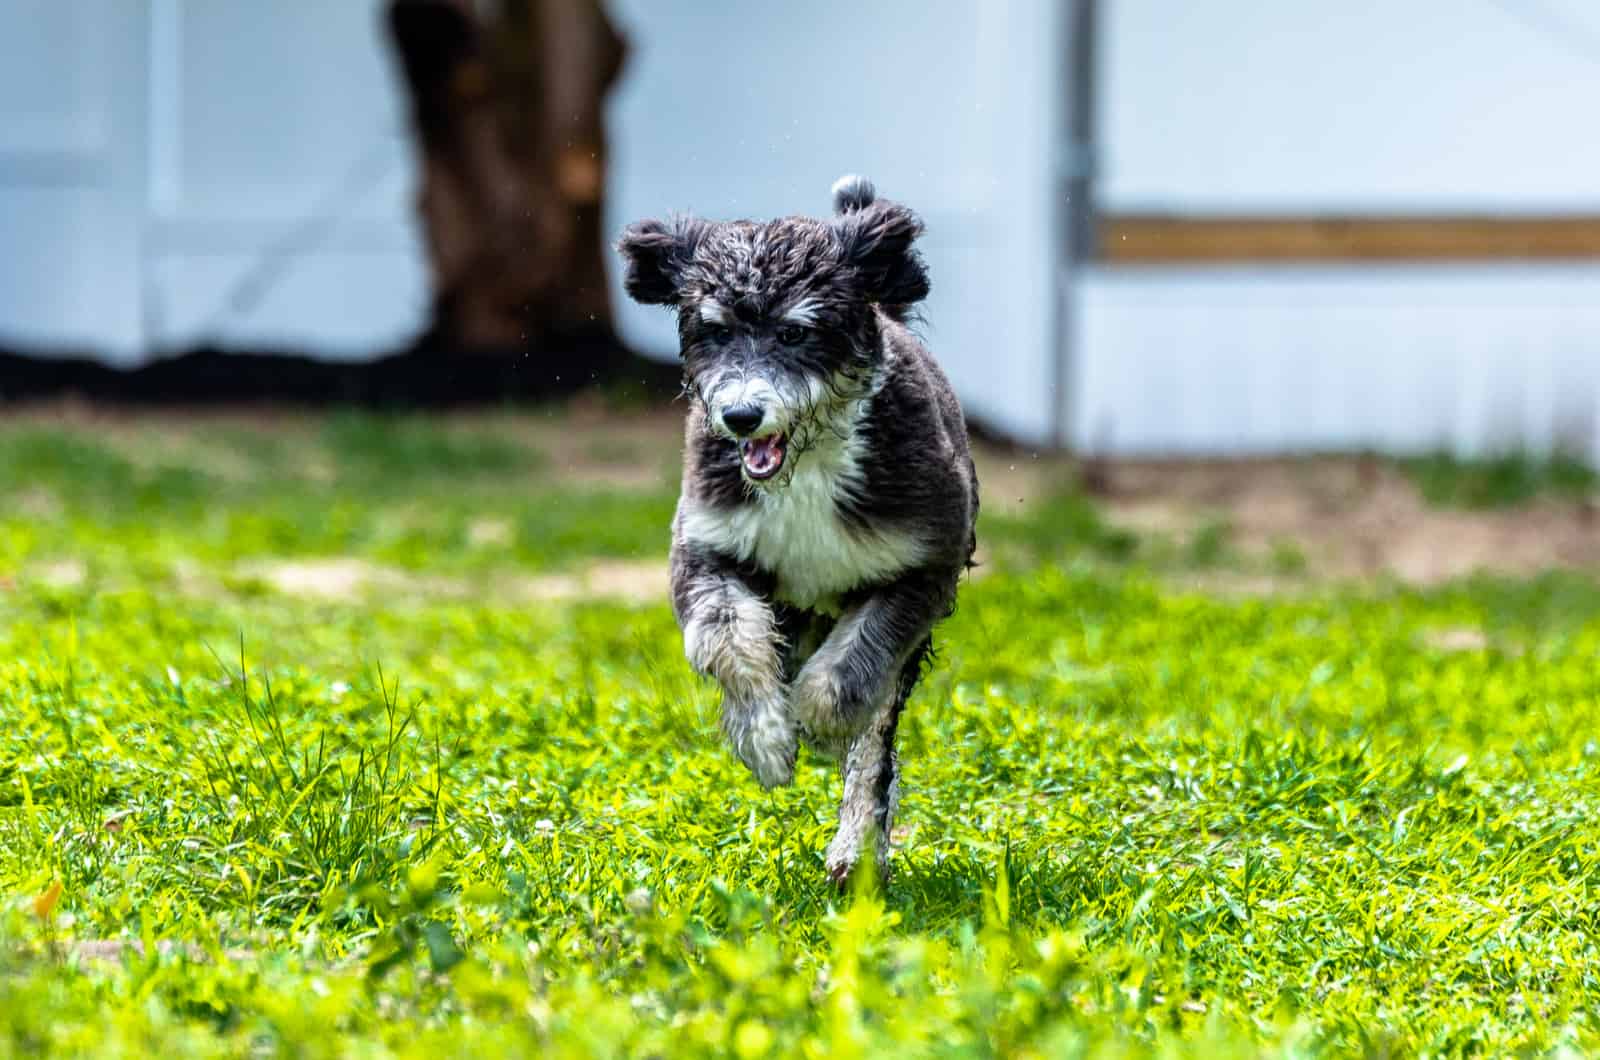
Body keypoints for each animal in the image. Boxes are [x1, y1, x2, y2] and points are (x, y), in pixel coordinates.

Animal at [617, 176, 979, 890]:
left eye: (794, 331)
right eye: (714, 331)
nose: (740, 416)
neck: (805, 468)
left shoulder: (921, 565)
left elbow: (852, 673)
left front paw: (818, 721)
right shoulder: (706, 547)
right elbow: (727, 639)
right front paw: (767, 741)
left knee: (875, 745)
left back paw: (854, 850)